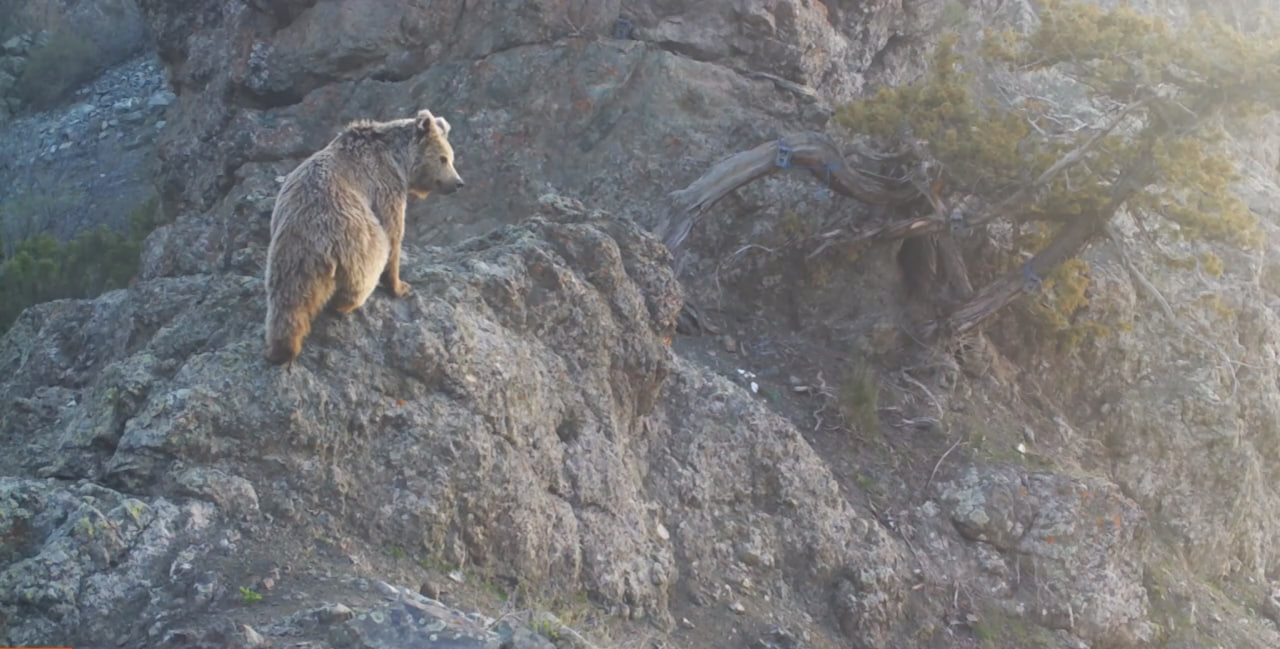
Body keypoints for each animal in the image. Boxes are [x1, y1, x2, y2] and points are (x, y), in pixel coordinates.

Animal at [262, 109, 463, 368]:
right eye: (444, 158)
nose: (458, 183)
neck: (398, 159)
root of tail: (317, 247)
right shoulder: (384, 185)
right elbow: (394, 233)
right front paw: (401, 285)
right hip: (357, 241)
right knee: (368, 266)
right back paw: (345, 304)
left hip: (287, 259)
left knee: (285, 305)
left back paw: (279, 350)